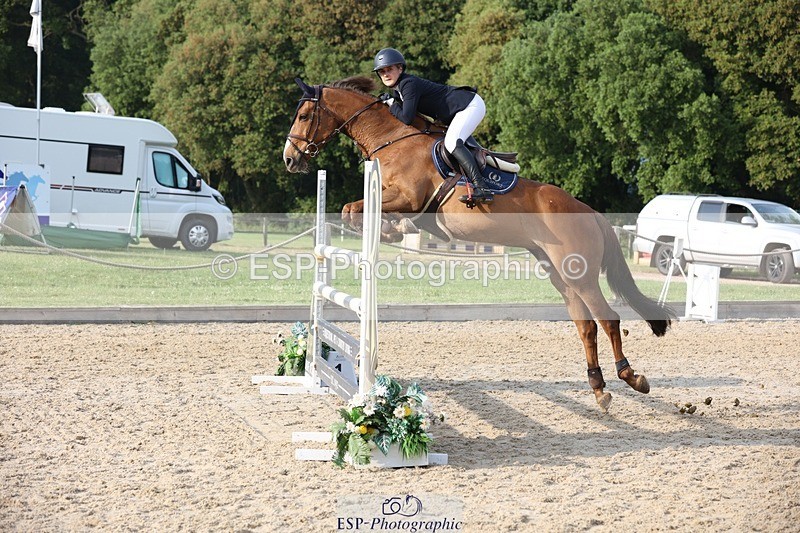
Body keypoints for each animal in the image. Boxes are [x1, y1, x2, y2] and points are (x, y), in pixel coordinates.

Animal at [283, 75, 676, 412]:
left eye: (303, 115)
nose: (290, 159)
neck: (393, 137)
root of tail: (589, 211)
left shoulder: (409, 198)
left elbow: (355, 208)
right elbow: (358, 212)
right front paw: (389, 232)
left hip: (581, 274)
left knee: (608, 319)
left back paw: (632, 377)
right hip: (562, 275)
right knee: (586, 326)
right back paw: (599, 389)